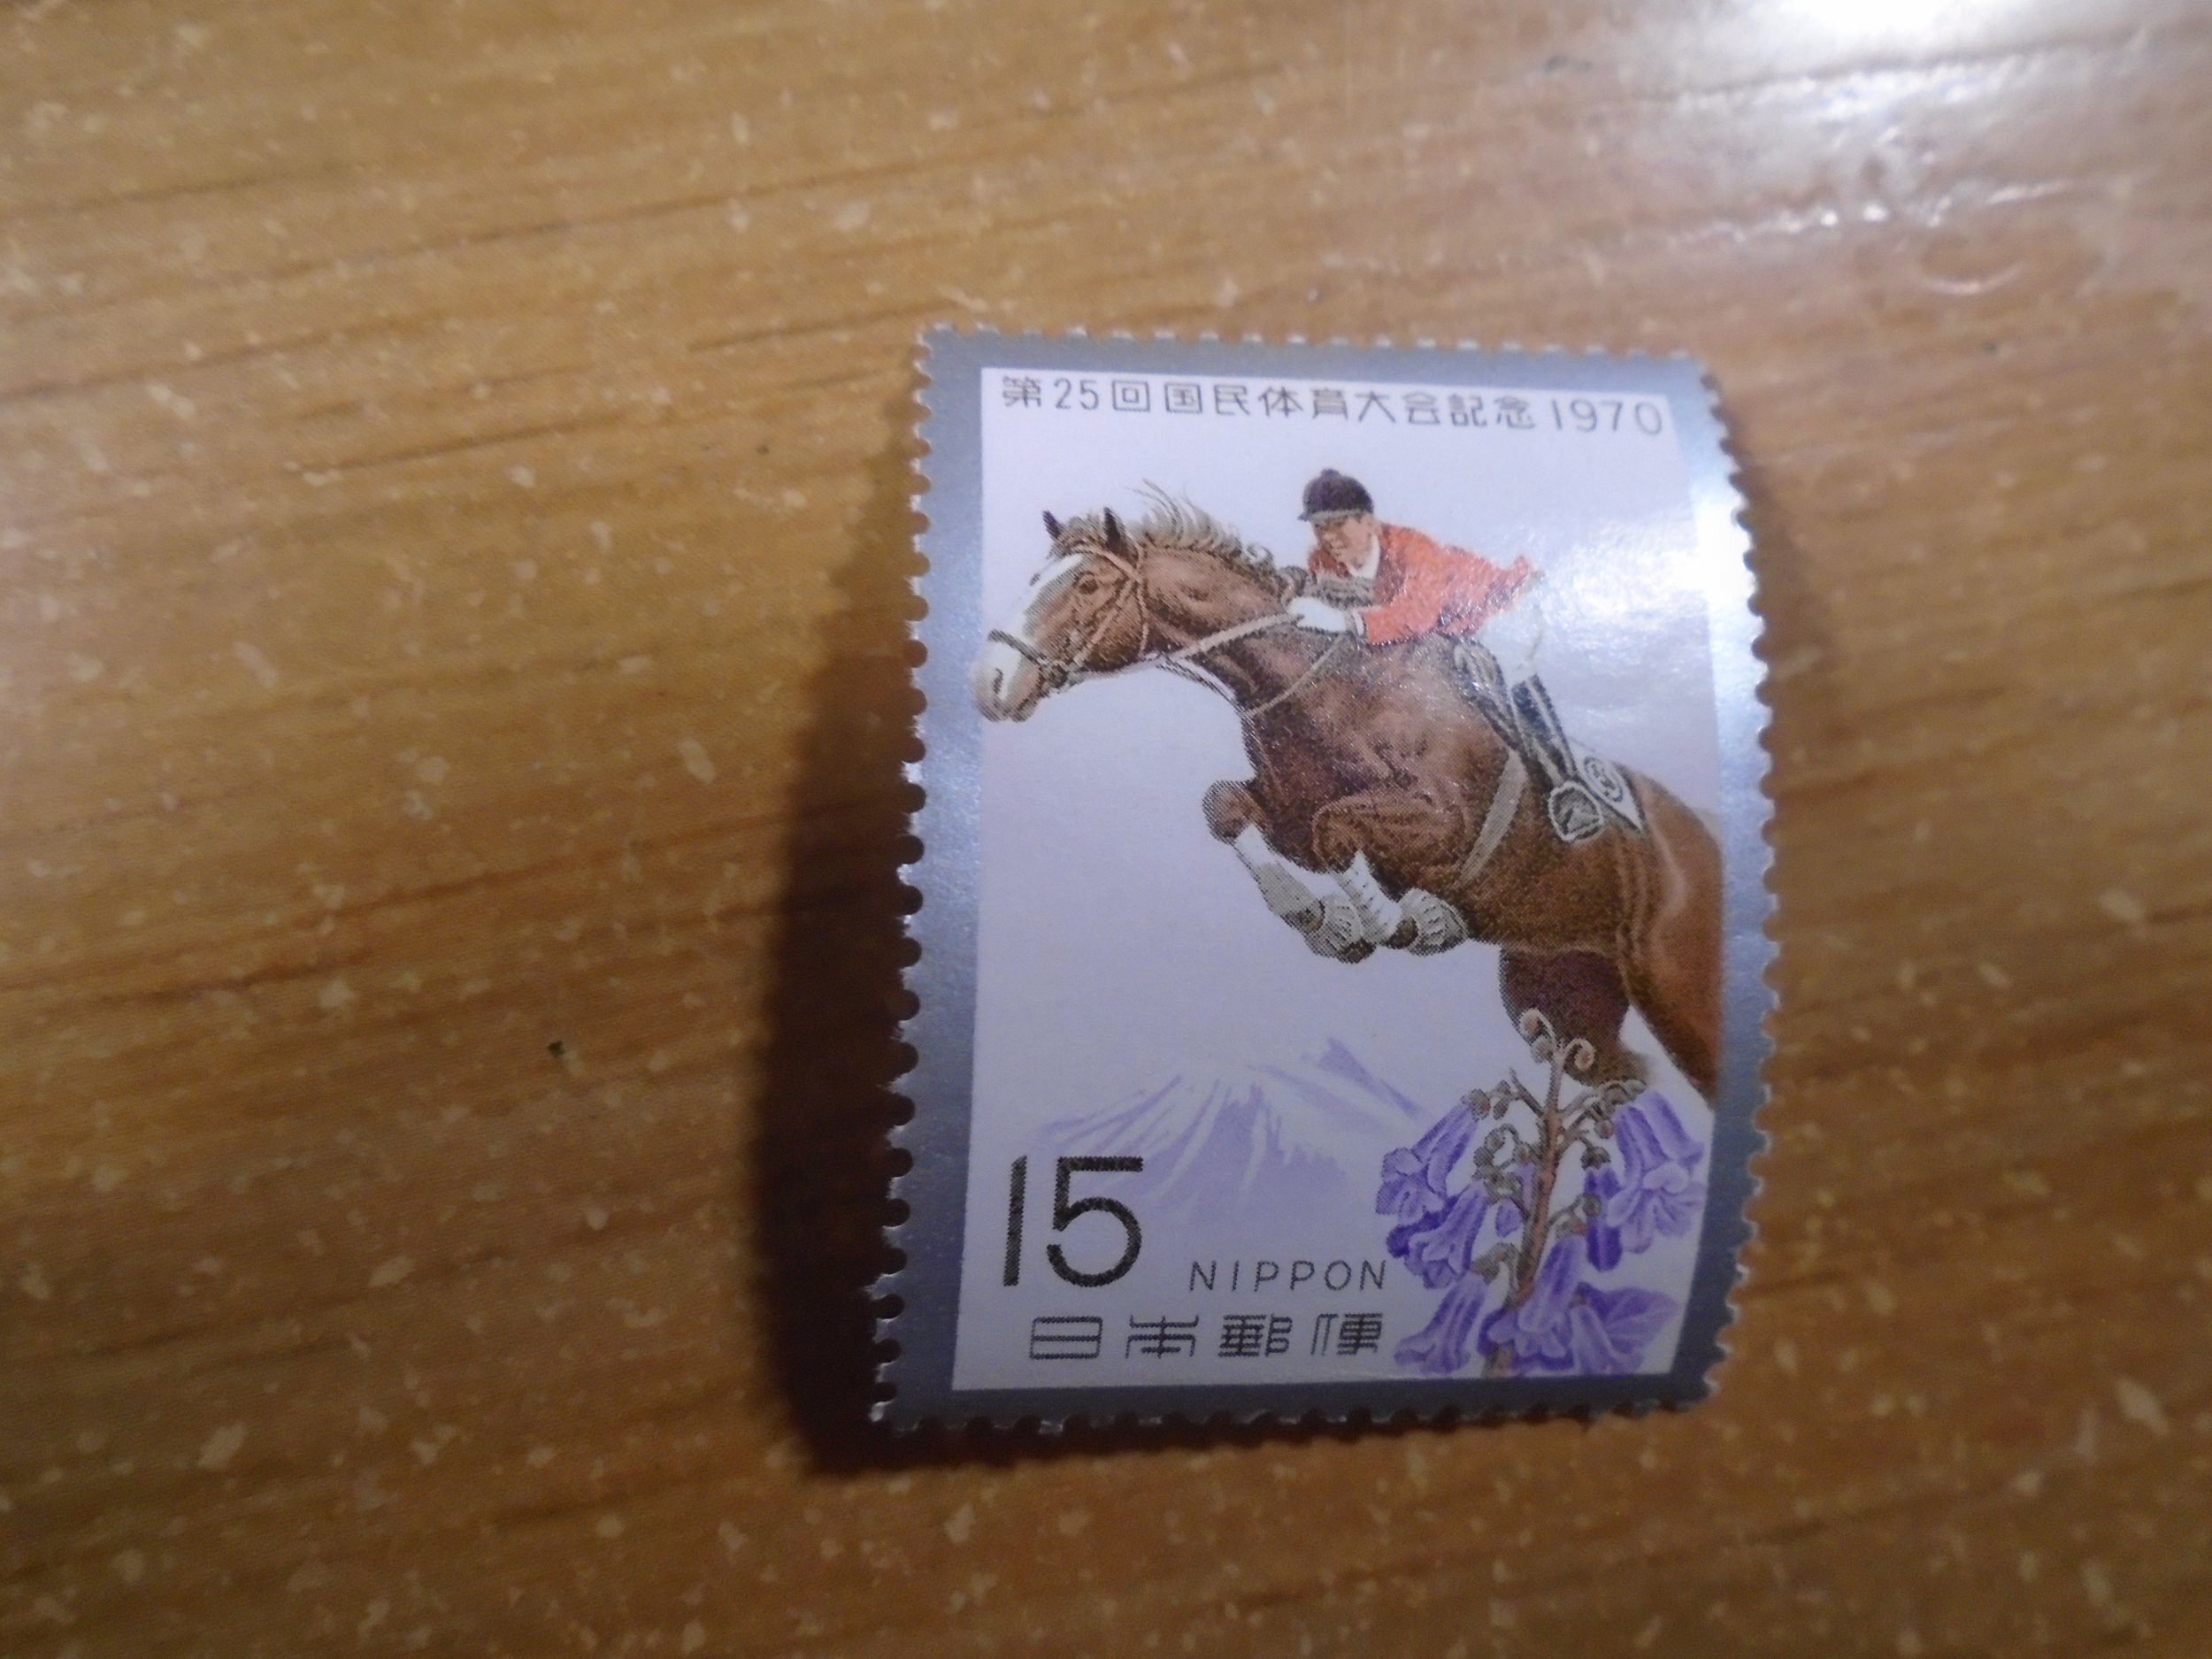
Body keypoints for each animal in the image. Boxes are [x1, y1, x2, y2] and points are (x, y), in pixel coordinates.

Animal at [969, 497, 1723, 1100]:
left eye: (1088, 582)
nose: (990, 682)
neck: (1323, 688)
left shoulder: (1444, 823)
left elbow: (1339, 831)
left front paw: (1399, 921)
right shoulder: (1286, 817)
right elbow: (1227, 807)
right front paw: (1320, 917)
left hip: (1682, 992)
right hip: (1557, 985)